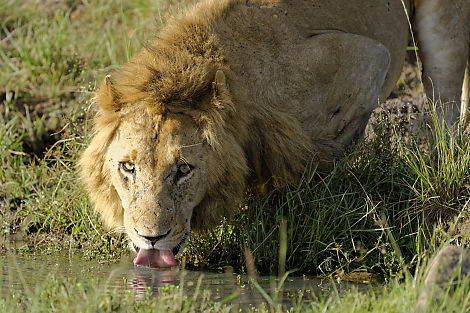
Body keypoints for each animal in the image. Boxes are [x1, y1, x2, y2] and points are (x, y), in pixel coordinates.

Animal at [79, 0, 470, 268]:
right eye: (128, 168)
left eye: (184, 170)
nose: (150, 238)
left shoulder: (370, 58)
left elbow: (319, 155)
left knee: (445, 102)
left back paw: (442, 158)